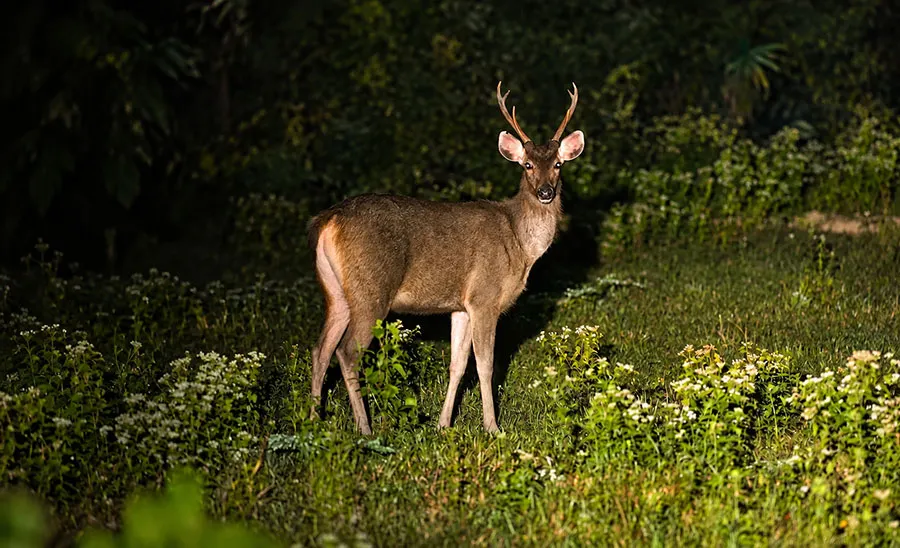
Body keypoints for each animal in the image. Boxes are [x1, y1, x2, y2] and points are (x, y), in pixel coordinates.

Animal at [307, 81, 584, 435]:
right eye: (528, 165)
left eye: (558, 164)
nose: (546, 192)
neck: (520, 244)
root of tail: (328, 221)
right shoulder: (484, 296)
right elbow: (485, 365)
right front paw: (492, 427)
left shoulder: (460, 306)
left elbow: (457, 364)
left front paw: (443, 424)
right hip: (371, 289)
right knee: (346, 353)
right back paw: (364, 429)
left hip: (336, 291)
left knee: (320, 349)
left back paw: (312, 420)